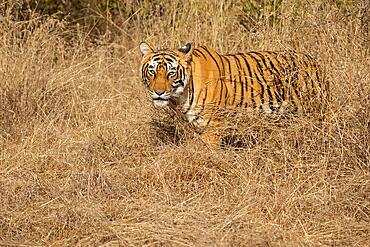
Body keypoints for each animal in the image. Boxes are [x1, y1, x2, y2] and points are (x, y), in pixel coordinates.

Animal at [139, 42, 330, 145]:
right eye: (152, 71)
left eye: (171, 73)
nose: (158, 92)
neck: (180, 98)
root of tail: (313, 61)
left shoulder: (213, 126)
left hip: (316, 111)